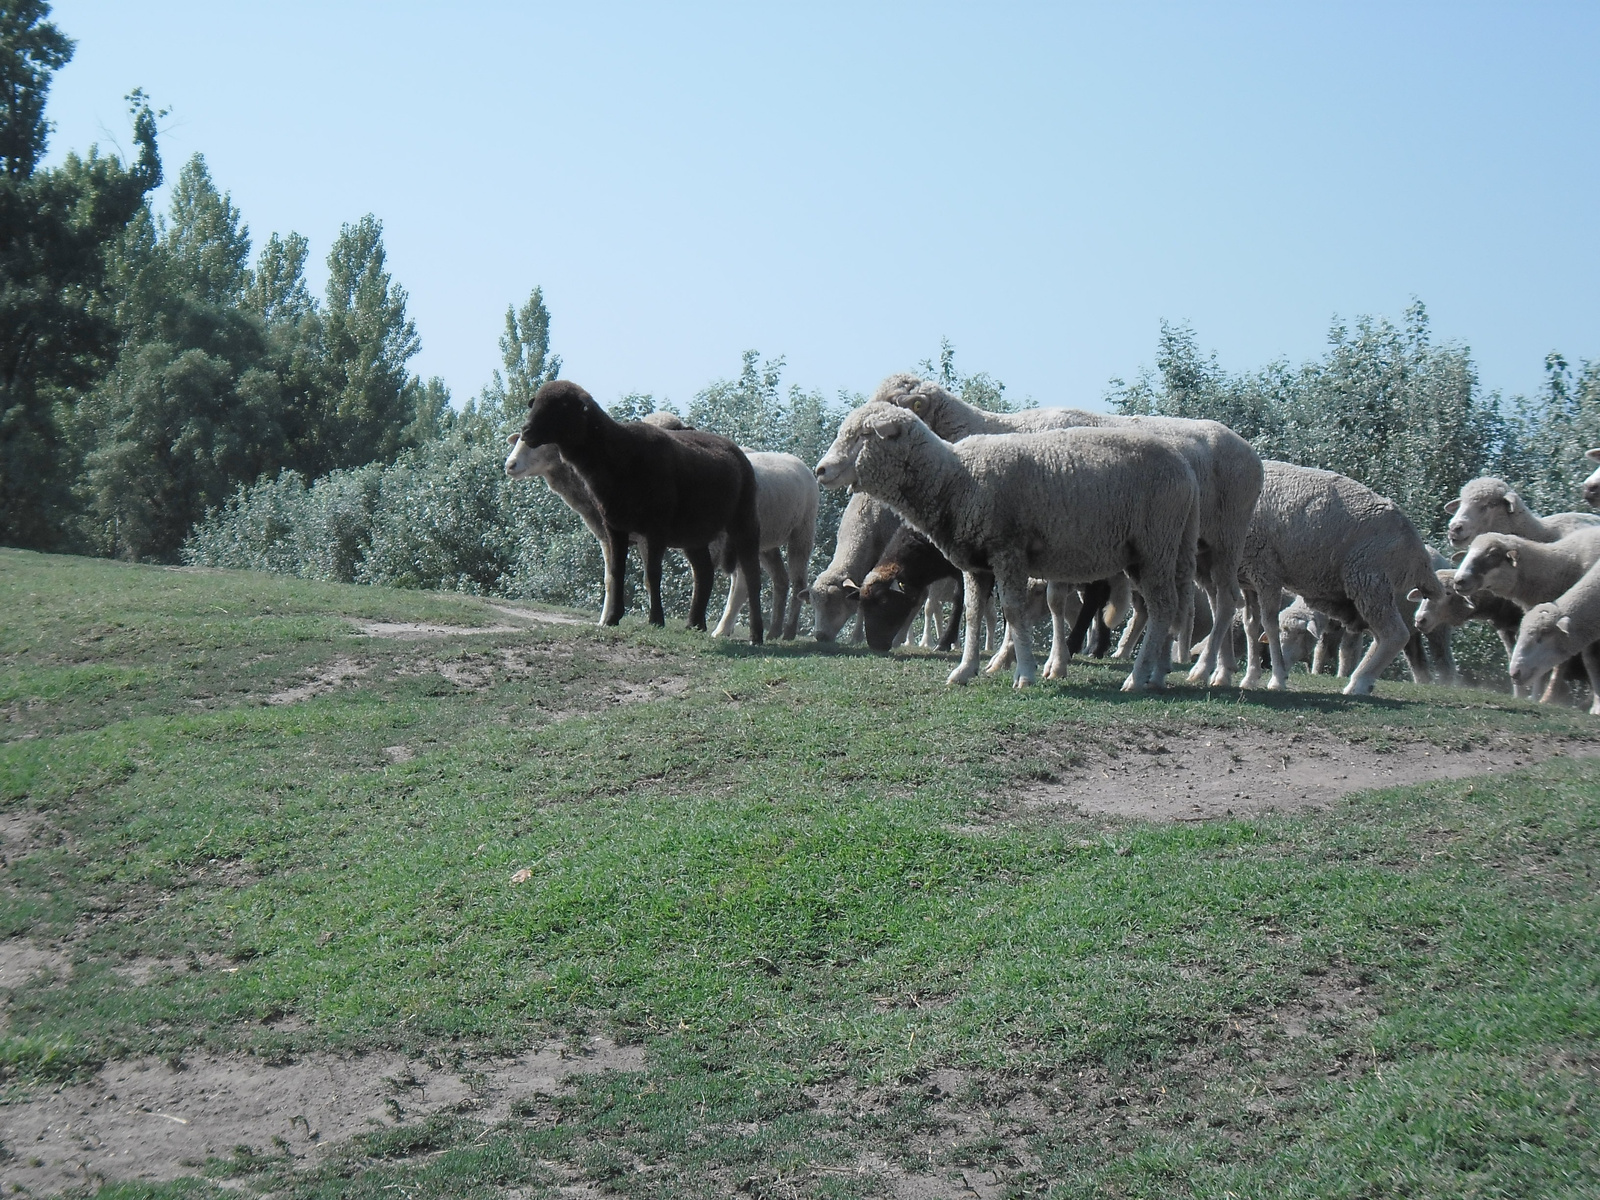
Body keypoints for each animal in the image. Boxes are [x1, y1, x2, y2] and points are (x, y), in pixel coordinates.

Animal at [812, 401, 1203, 691]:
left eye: (864, 435)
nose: (821, 470)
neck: (956, 478)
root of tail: (1186, 470)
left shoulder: (1007, 552)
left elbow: (1013, 612)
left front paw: (1025, 673)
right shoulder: (975, 563)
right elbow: (972, 614)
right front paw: (964, 671)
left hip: (1155, 545)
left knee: (1163, 607)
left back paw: (1137, 678)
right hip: (1159, 550)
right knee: (1170, 606)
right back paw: (1157, 674)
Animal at [876, 371, 1260, 691]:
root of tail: (1250, 451)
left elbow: (1039, 603)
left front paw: (1025, 661)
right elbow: (1052, 603)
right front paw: (1038, 662)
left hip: (1226, 539)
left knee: (1226, 600)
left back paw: (1207, 669)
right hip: (1196, 548)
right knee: (1206, 598)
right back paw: (1195, 668)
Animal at [1228, 464, 1446, 704]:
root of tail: (1418, 548)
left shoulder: (1266, 571)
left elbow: (1269, 625)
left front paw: (1277, 679)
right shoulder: (1248, 580)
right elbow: (1251, 626)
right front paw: (1250, 677)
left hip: (1368, 579)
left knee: (1396, 634)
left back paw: (1357, 683)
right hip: (1366, 592)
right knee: (1382, 636)